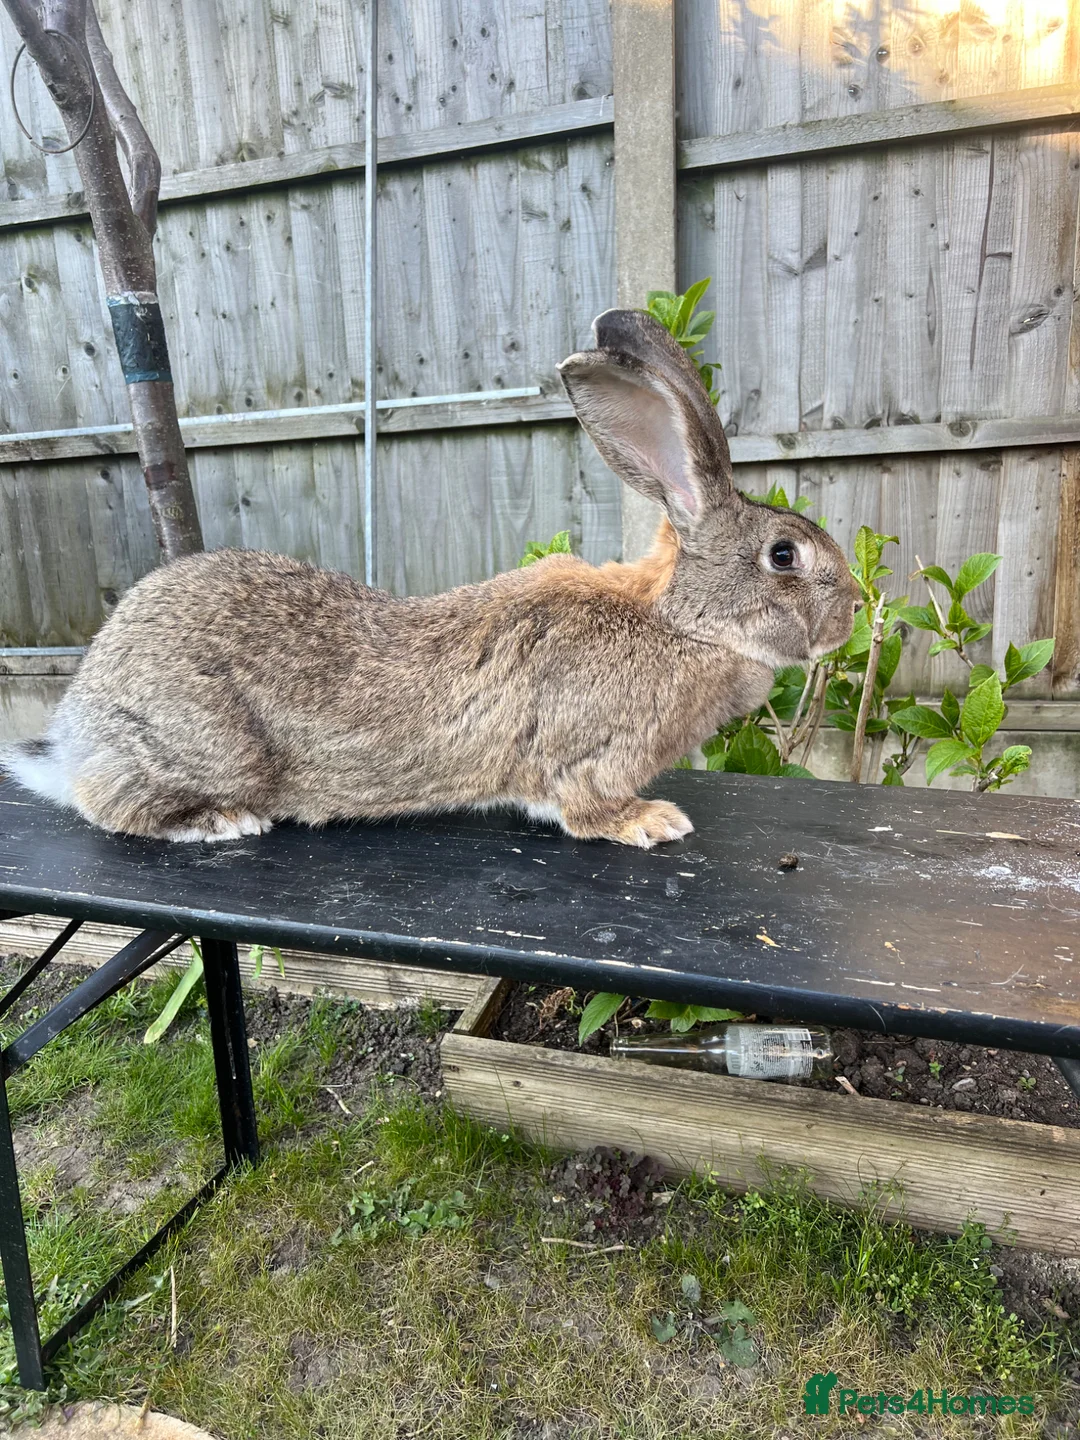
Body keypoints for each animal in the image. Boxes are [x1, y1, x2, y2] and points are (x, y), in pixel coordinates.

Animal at [3, 309, 860, 848]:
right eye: (785, 555)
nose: (854, 610)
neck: (681, 621)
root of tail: (76, 726)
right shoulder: (589, 757)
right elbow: (585, 809)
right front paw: (652, 822)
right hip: (207, 745)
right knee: (111, 803)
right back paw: (217, 823)